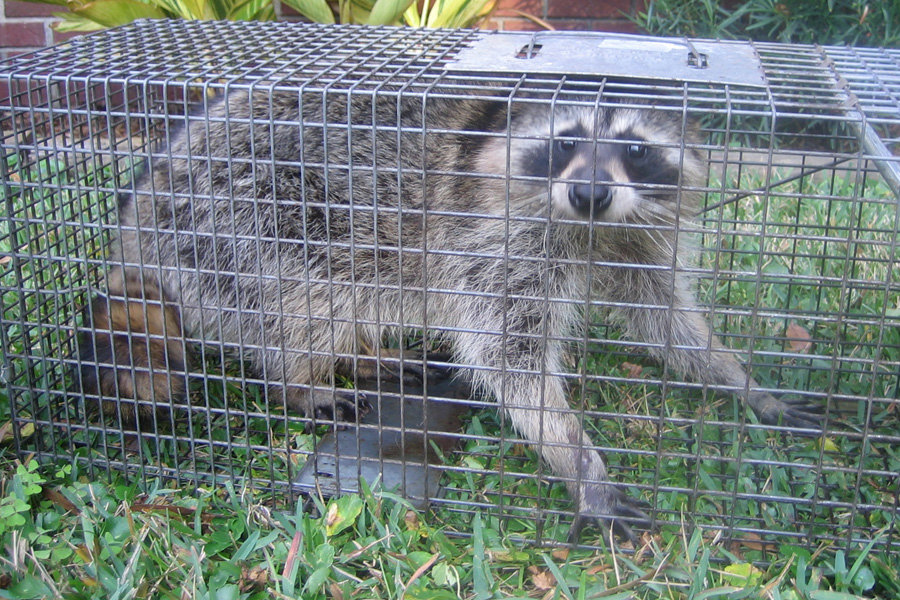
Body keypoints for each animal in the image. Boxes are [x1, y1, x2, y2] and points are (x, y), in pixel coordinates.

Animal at [80, 81, 821, 540]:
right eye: (566, 139)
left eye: (635, 147)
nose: (588, 191)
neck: (586, 226)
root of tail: (134, 218)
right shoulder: (492, 239)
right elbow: (509, 357)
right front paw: (580, 462)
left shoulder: (634, 236)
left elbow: (665, 317)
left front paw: (741, 381)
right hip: (237, 215)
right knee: (301, 295)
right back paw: (302, 377)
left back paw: (364, 355)